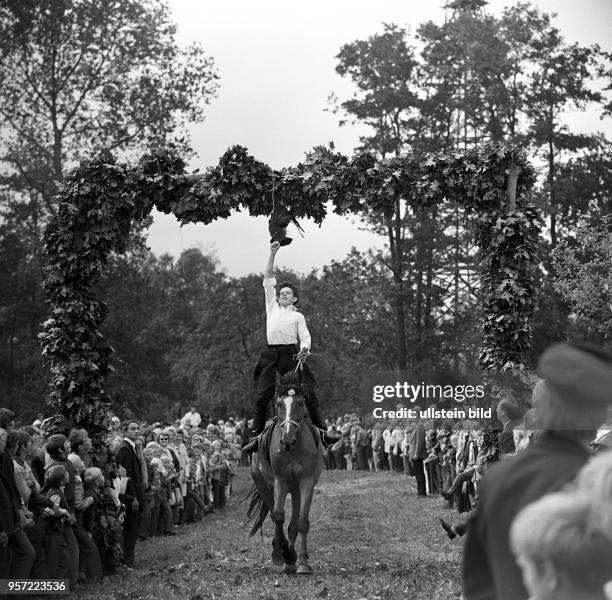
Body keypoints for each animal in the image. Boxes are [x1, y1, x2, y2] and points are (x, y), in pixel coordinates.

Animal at [249, 372, 326, 576]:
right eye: (279, 404)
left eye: (300, 402)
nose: (287, 440)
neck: (293, 449)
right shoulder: (280, 481)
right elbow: (277, 515)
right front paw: (281, 553)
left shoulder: (306, 482)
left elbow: (302, 523)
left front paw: (302, 562)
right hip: (265, 484)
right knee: (274, 512)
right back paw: (281, 553)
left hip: (296, 489)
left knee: (293, 525)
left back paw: (291, 560)